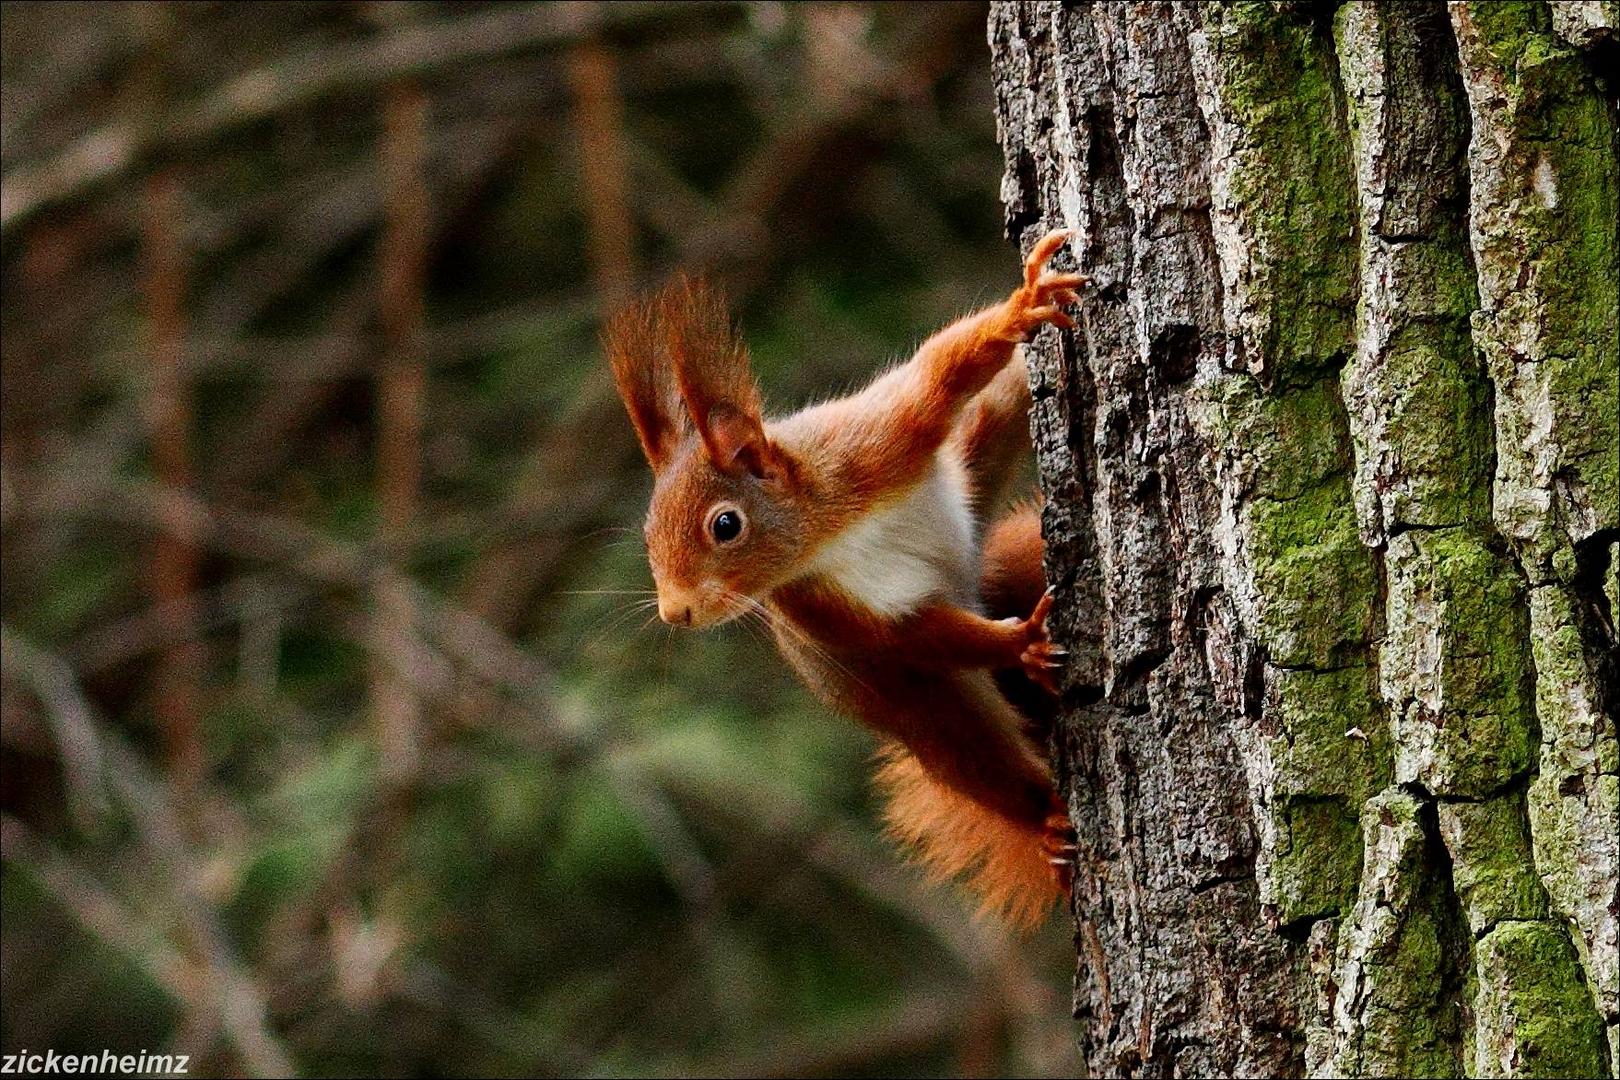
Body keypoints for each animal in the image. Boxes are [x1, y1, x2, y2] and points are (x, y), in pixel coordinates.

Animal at [602, 229, 1082, 932]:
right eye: (646, 537)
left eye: (725, 525)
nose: (675, 613)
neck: (822, 530)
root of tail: (973, 580)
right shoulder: (818, 608)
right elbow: (912, 634)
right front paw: (1020, 642)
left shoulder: (877, 441)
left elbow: (944, 373)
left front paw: (1025, 305)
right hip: (915, 708)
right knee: (972, 763)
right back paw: (1044, 818)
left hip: (976, 495)